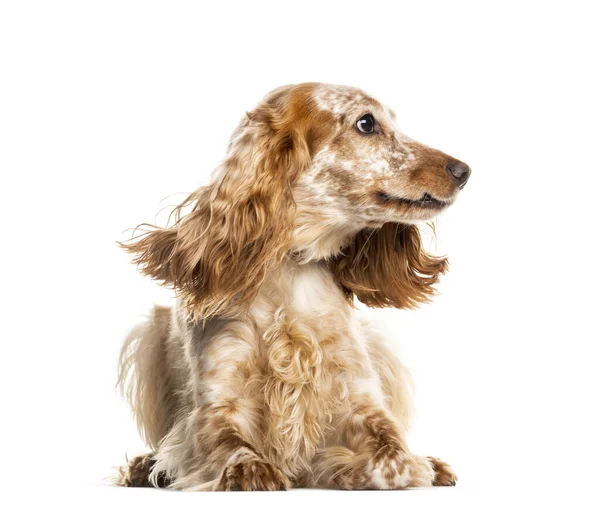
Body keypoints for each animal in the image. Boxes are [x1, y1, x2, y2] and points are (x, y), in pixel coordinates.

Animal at [116, 83, 468, 492]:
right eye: (366, 123)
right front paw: (253, 470)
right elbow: (230, 445)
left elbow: (395, 457)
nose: (464, 170)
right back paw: (144, 466)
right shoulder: (218, 401)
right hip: (149, 333)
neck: (292, 270)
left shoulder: (361, 397)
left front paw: (344, 468)